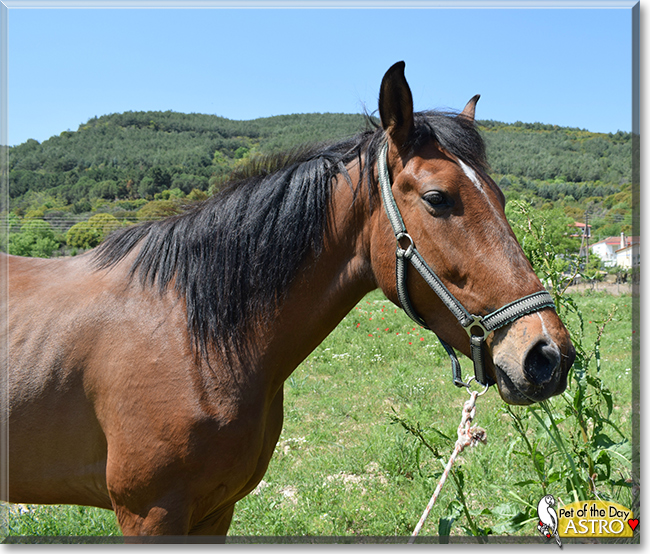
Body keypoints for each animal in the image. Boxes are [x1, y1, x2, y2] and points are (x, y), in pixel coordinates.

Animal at [3, 61, 572, 536]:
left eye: (500, 197)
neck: (191, 335)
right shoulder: (149, 514)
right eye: (437, 198)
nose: (548, 355)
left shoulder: (214, 510)